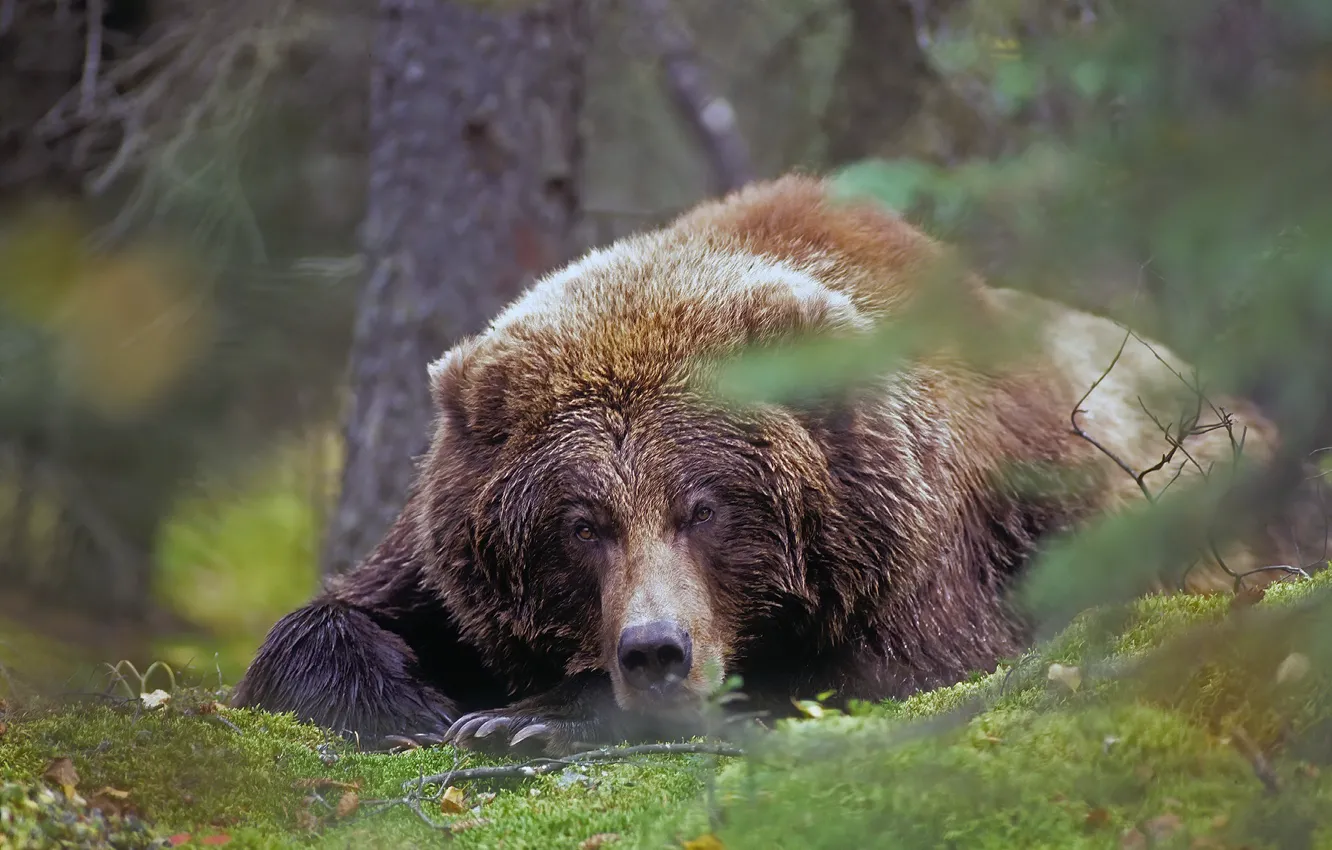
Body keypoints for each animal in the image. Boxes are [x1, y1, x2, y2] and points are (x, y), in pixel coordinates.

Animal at [233, 174, 1307, 755]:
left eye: (706, 506)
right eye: (582, 524)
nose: (654, 650)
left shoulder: (932, 553)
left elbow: (877, 668)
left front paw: (529, 718)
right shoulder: (443, 553)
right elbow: (334, 618)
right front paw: (418, 705)